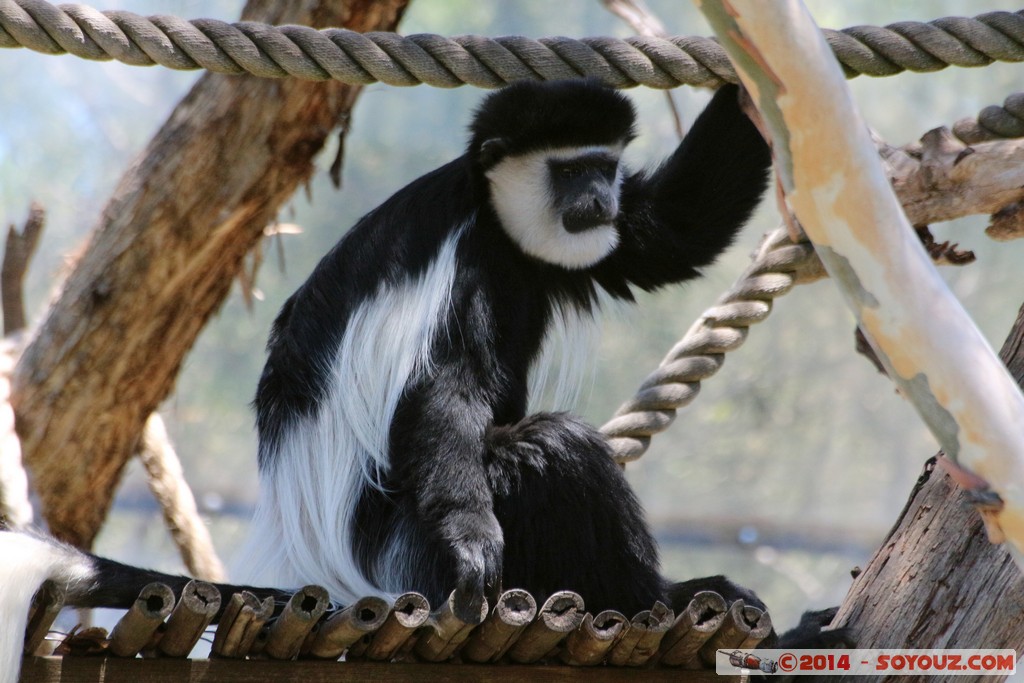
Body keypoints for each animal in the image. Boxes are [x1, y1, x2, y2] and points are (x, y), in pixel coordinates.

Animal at [2, 78, 839, 679]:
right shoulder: (461, 266)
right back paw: (666, 599)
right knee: (545, 449)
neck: (495, 221)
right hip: (409, 553)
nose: (601, 199)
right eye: (571, 171)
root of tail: (325, 569)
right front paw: (472, 532)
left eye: (604, 167)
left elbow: (671, 230)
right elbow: (445, 393)